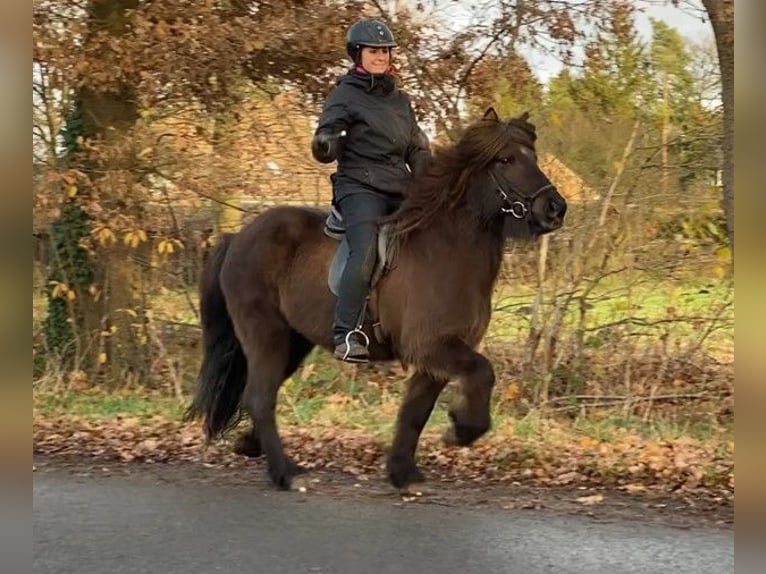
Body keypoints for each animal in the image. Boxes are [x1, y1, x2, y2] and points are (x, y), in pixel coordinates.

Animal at [184, 107, 567, 491]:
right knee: (261, 397)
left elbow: (414, 413)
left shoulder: (436, 357)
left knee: (260, 392)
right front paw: (461, 430)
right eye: (506, 159)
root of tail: (237, 237)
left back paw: (250, 445)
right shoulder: (430, 346)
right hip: (266, 335)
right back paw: (286, 473)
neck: (446, 250)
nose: (555, 209)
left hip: (292, 341)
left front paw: (404, 473)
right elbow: (483, 372)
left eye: (533, 156)